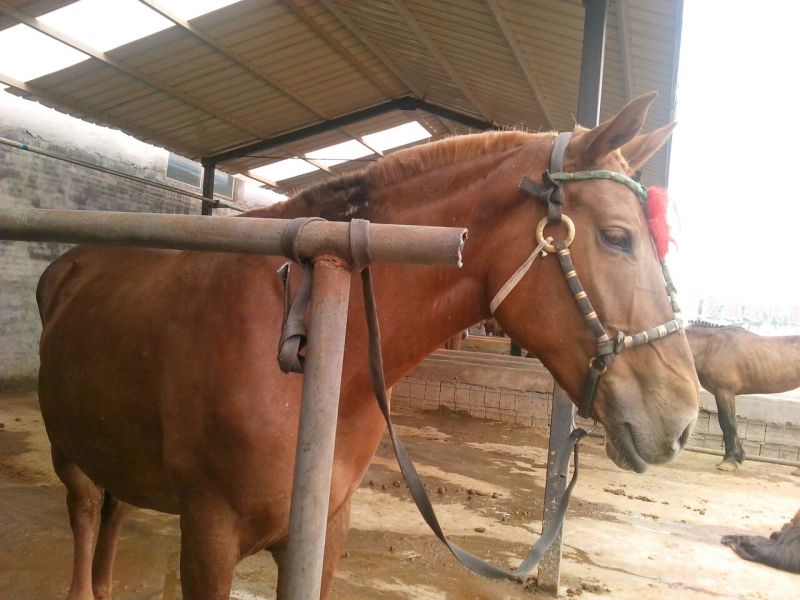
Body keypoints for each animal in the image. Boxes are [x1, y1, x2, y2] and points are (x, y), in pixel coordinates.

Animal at [36, 92, 699, 600]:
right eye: (617, 237)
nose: (684, 416)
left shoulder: (323, 532)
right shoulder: (208, 535)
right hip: (70, 453)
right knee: (87, 518)